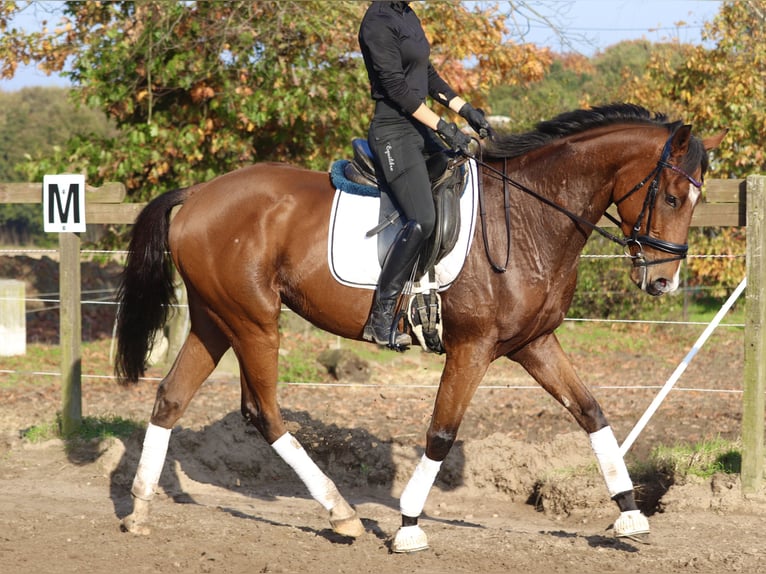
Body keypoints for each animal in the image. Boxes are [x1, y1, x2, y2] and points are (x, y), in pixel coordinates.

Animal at [114, 103, 728, 552]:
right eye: (672, 195)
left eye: (696, 199)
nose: (663, 283)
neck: (531, 216)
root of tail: (198, 193)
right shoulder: (473, 347)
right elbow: (441, 432)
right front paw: (408, 525)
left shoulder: (533, 343)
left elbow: (591, 412)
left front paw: (630, 514)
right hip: (255, 321)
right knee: (263, 412)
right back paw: (342, 514)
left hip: (215, 320)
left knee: (170, 398)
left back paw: (140, 508)